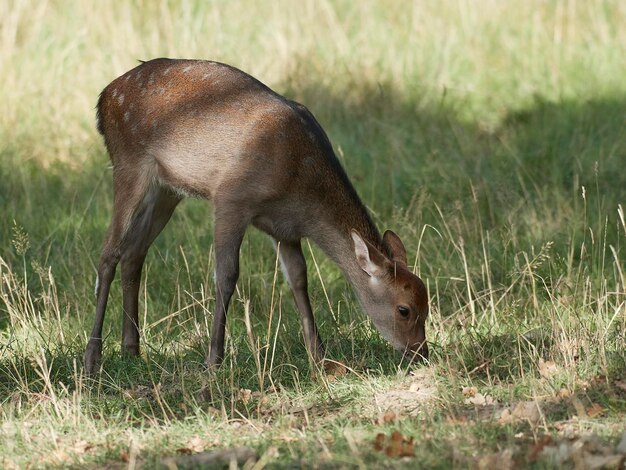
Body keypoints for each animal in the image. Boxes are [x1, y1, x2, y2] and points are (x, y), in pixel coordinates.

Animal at [84, 57, 428, 374]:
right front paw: (214, 361)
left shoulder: (285, 229)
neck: (300, 188)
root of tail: (104, 97)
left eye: (427, 304)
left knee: (133, 253)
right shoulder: (231, 198)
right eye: (404, 310)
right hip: (128, 163)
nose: (421, 353)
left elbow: (299, 279)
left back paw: (131, 350)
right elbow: (226, 276)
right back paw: (92, 357)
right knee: (108, 253)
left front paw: (318, 356)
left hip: (167, 190)